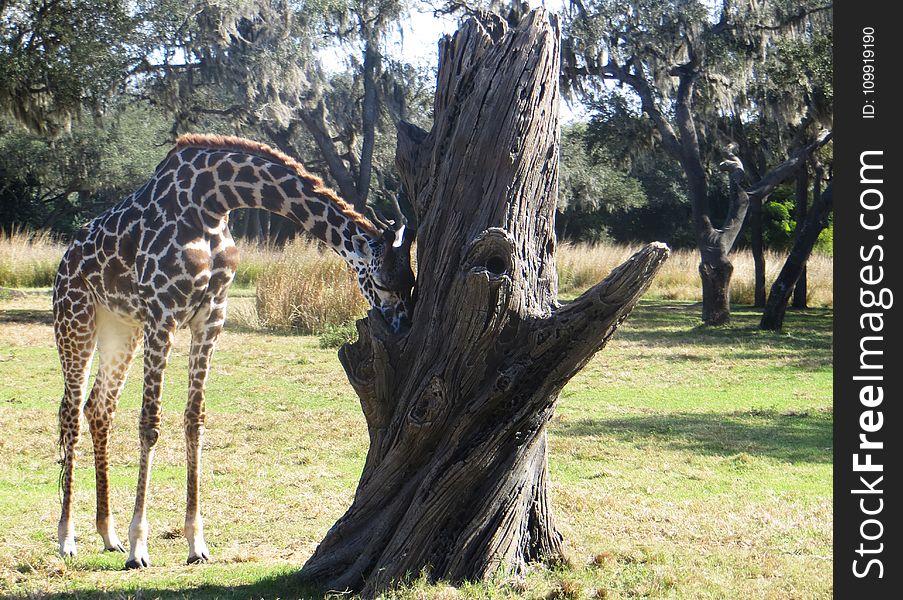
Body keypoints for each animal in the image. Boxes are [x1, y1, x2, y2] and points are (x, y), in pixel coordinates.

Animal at [51, 134, 414, 568]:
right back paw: (67, 539)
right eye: (383, 282)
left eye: (411, 281)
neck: (212, 202)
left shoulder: (211, 316)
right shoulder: (163, 313)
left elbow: (195, 419)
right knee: (70, 413)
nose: (403, 326)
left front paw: (195, 543)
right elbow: (150, 423)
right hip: (76, 320)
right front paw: (140, 548)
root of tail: (63, 261)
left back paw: (108, 535)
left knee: (98, 408)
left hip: (121, 330)